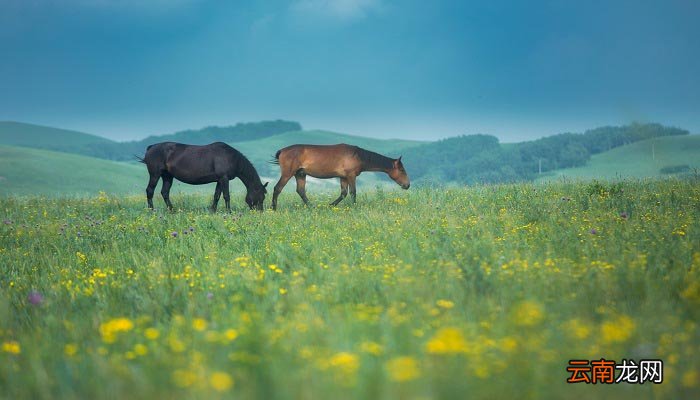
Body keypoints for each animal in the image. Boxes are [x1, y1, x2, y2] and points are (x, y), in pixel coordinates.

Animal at [138, 142, 268, 211]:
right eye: (261, 196)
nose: (259, 212)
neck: (231, 157)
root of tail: (151, 147)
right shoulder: (224, 178)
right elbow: (226, 196)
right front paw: (229, 212)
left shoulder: (220, 180)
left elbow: (216, 196)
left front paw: (213, 211)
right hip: (155, 174)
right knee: (150, 191)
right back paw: (151, 210)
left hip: (167, 176)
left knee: (165, 192)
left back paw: (172, 210)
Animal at [270, 143, 410, 210]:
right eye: (402, 170)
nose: (407, 185)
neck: (357, 155)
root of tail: (282, 151)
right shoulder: (351, 176)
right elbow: (353, 192)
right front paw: (354, 207)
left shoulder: (343, 177)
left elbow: (343, 193)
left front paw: (330, 205)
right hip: (288, 174)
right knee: (277, 188)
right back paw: (274, 208)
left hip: (300, 174)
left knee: (301, 191)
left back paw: (312, 207)